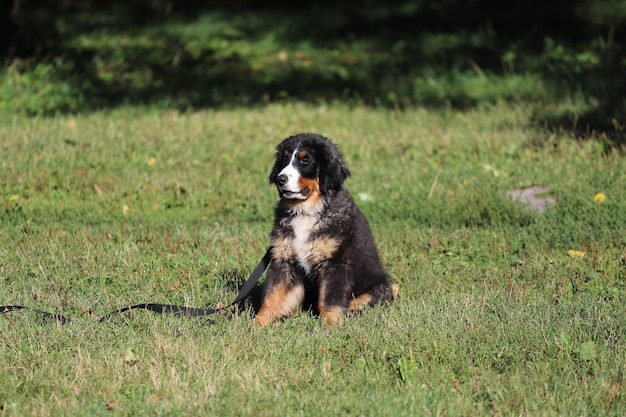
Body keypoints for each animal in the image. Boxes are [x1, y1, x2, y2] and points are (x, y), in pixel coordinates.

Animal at [252, 132, 394, 326]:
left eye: (305, 161)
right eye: (284, 159)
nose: (280, 179)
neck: (306, 211)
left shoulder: (334, 262)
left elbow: (329, 300)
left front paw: (331, 326)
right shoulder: (284, 259)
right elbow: (273, 297)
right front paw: (256, 324)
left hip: (376, 289)